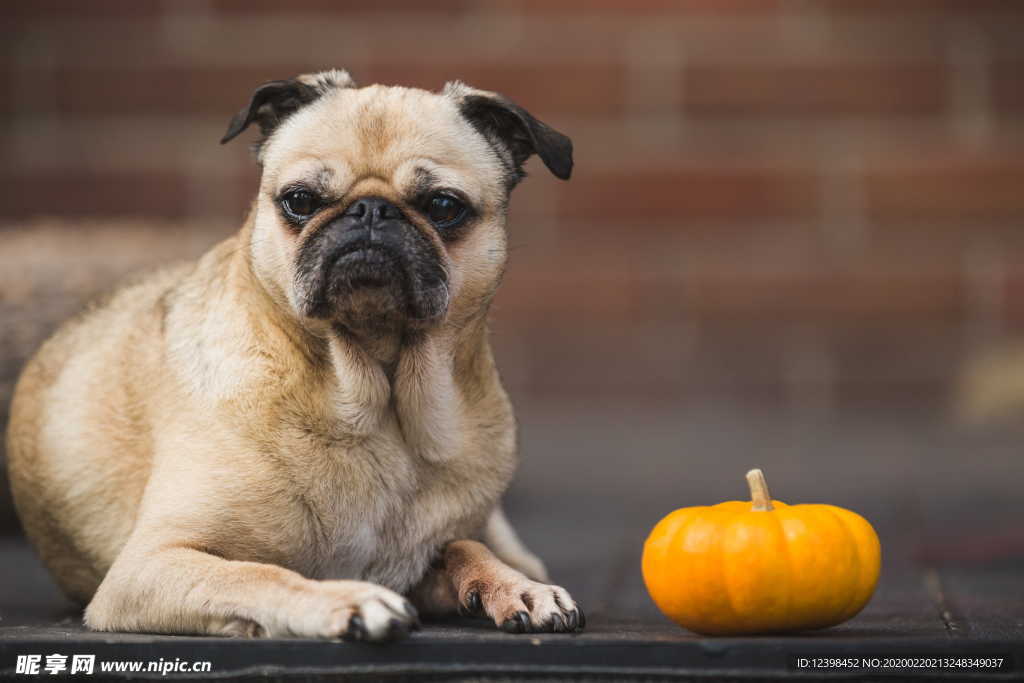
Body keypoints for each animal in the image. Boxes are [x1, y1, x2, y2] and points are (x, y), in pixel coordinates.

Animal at [6, 68, 585, 643]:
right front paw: (347, 599)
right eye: (301, 200)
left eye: (443, 207)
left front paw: (511, 586)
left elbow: (463, 546)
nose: (370, 210)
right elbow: (258, 574)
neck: (375, 398)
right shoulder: (148, 566)